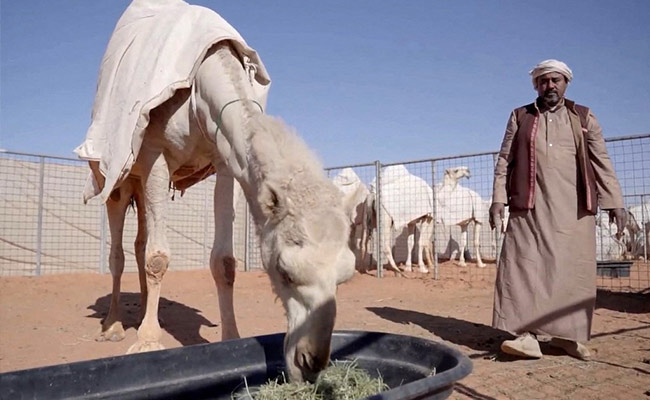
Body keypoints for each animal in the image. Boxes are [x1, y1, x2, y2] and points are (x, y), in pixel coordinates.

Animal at [76, 1, 354, 383]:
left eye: (346, 276)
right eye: (284, 271)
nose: (310, 361)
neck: (200, 91)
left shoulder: (225, 160)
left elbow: (224, 262)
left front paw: (230, 337)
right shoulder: (155, 154)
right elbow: (158, 256)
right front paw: (147, 342)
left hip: (141, 185)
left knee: (139, 240)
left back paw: (148, 309)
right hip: (118, 176)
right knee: (117, 250)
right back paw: (113, 326)